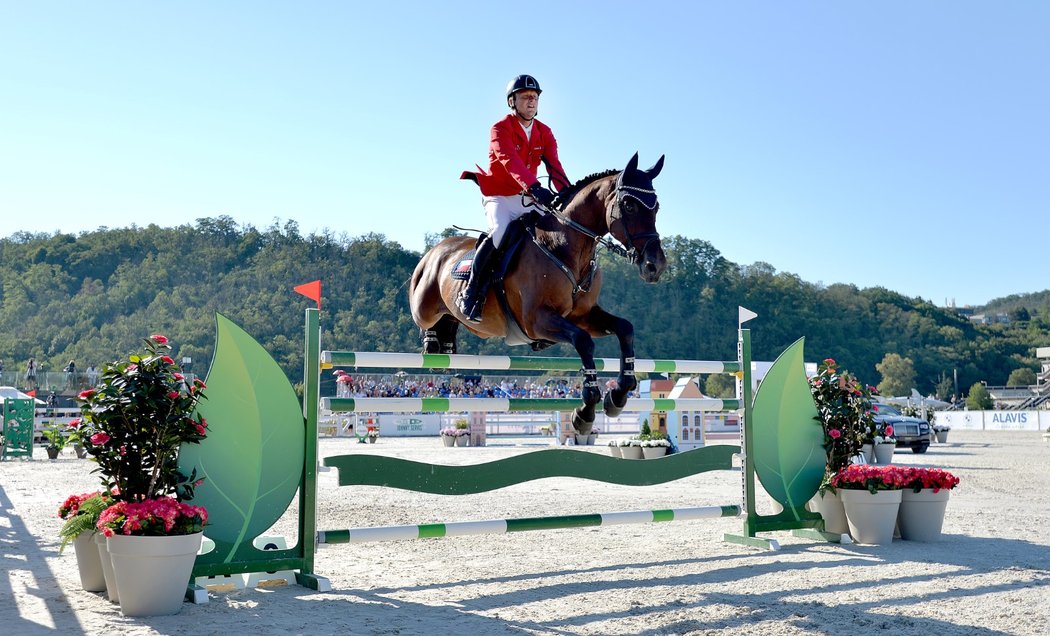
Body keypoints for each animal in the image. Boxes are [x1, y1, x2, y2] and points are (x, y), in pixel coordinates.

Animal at [405, 153, 667, 434]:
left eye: (656, 208)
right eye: (629, 206)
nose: (655, 266)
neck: (565, 246)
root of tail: (436, 250)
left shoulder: (583, 316)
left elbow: (624, 328)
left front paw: (618, 395)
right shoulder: (537, 320)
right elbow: (584, 341)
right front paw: (585, 411)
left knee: (450, 319)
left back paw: (447, 338)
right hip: (424, 308)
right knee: (426, 320)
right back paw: (434, 338)